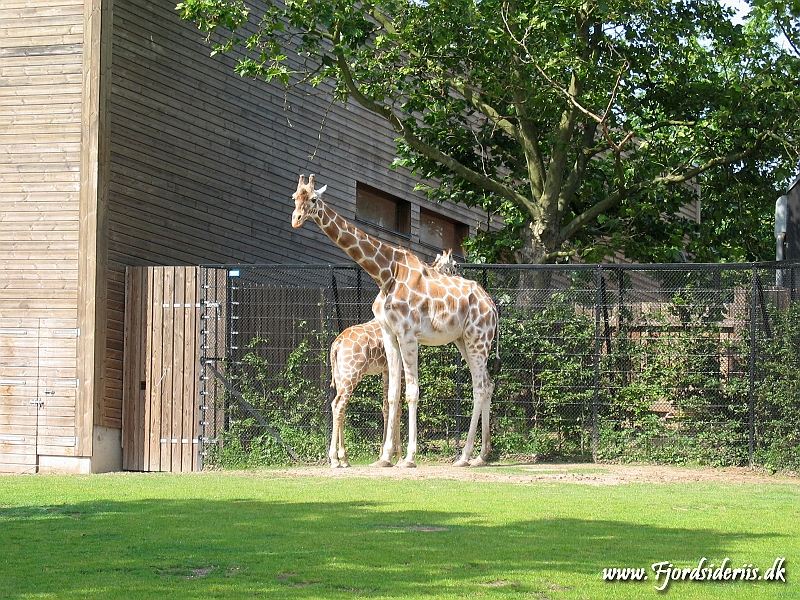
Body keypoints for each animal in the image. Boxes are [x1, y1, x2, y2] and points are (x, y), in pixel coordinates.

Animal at [328, 251, 460, 466]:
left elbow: (386, 407)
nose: (458, 277)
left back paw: (343, 459)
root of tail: (336, 345)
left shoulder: (385, 370)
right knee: (340, 404)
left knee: (337, 405)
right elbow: (397, 408)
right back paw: (336, 459)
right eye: (455, 265)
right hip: (352, 373)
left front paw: (384, 454)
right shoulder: (398, 368)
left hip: (340, 375)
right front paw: (397, 456)